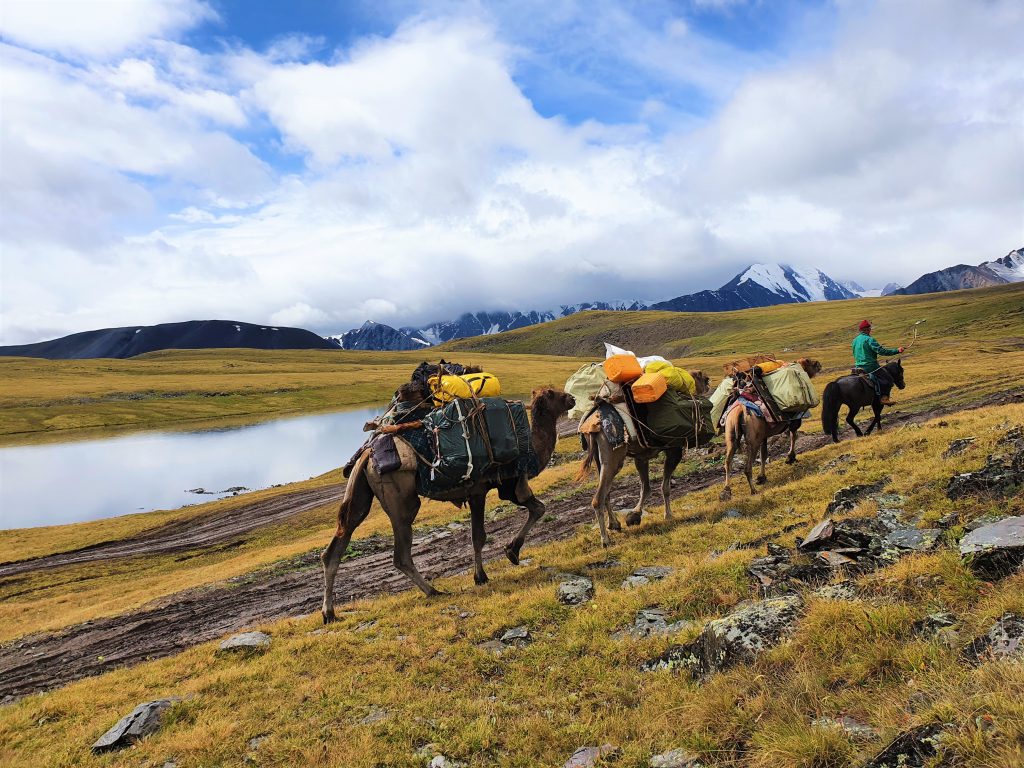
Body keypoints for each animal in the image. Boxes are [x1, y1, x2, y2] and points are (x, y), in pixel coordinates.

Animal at [321, 387, 577, 622]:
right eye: (554, 394)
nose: (572, 398)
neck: (531, 448)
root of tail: (368, 454)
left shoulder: (496, 488)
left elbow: (531, 510)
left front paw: (501, 559)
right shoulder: (488, 488)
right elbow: (485, 533)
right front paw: (498, 562)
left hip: (361, 493)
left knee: (337, 544)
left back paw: (329, 613)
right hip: (401, 499)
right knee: (401, 553)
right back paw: (434, 591)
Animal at [577, 370, 712, 548]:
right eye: (701, 376)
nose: (708, 380)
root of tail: (592, 423)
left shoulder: (641, 457)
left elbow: (645, 487)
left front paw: (634, 516)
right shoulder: (674, 450)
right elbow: (665, 487)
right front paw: (668, 515)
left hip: (600, 460)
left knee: (606, 492)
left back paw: (614, 524)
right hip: (613, 456)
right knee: (598, 498)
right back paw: (605, 540)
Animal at [720, 358, 823, 501]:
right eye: (811, 362)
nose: (819, 364)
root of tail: (739, 411)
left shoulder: (763, 435)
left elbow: (764, 455)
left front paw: (762, 477)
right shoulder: (795, 420)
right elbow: (793, 435)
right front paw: (790, 458)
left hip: (731, 434)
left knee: (727, 462)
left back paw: (726, 491)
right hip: (752, 440)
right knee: (747, 467)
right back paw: (753, 490)